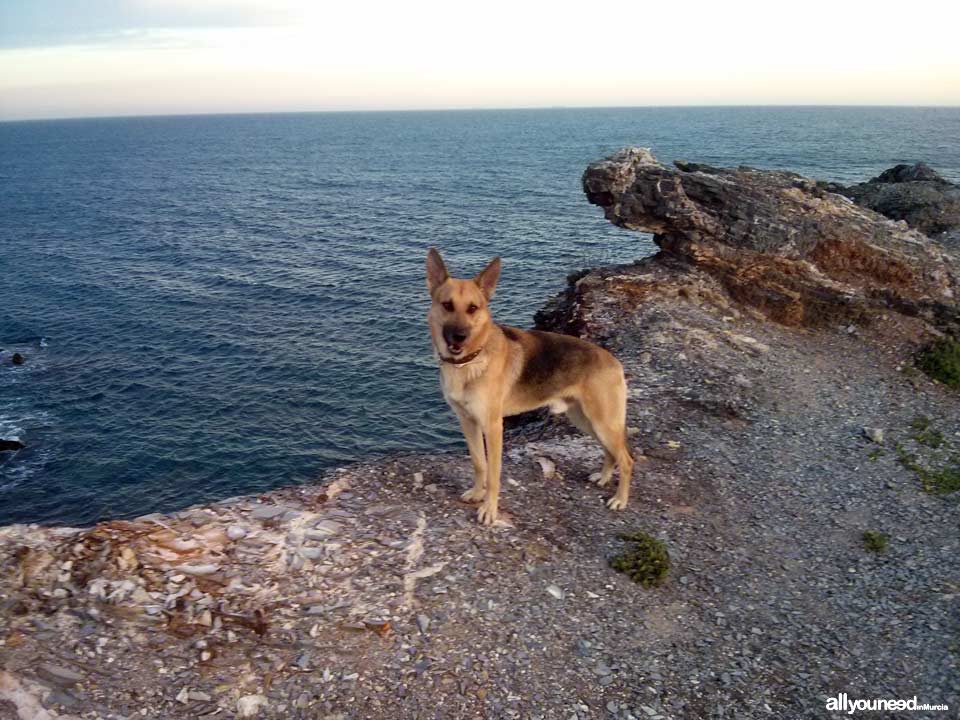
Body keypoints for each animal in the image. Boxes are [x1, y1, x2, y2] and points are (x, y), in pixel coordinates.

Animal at [424, 248, 632, 524]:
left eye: (473, 308)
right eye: (447, 305)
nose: (459, 337)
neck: (470, 361)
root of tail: (613, 360)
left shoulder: (493, 427)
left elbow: (494, 473)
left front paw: (489, 509)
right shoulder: (468, 422)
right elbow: (479, 463)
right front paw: (477, 494)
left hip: (603, 422)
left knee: (627, 460)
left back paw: (620, 499)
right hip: (585, 420)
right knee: (611, 452)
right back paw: (605, 477)